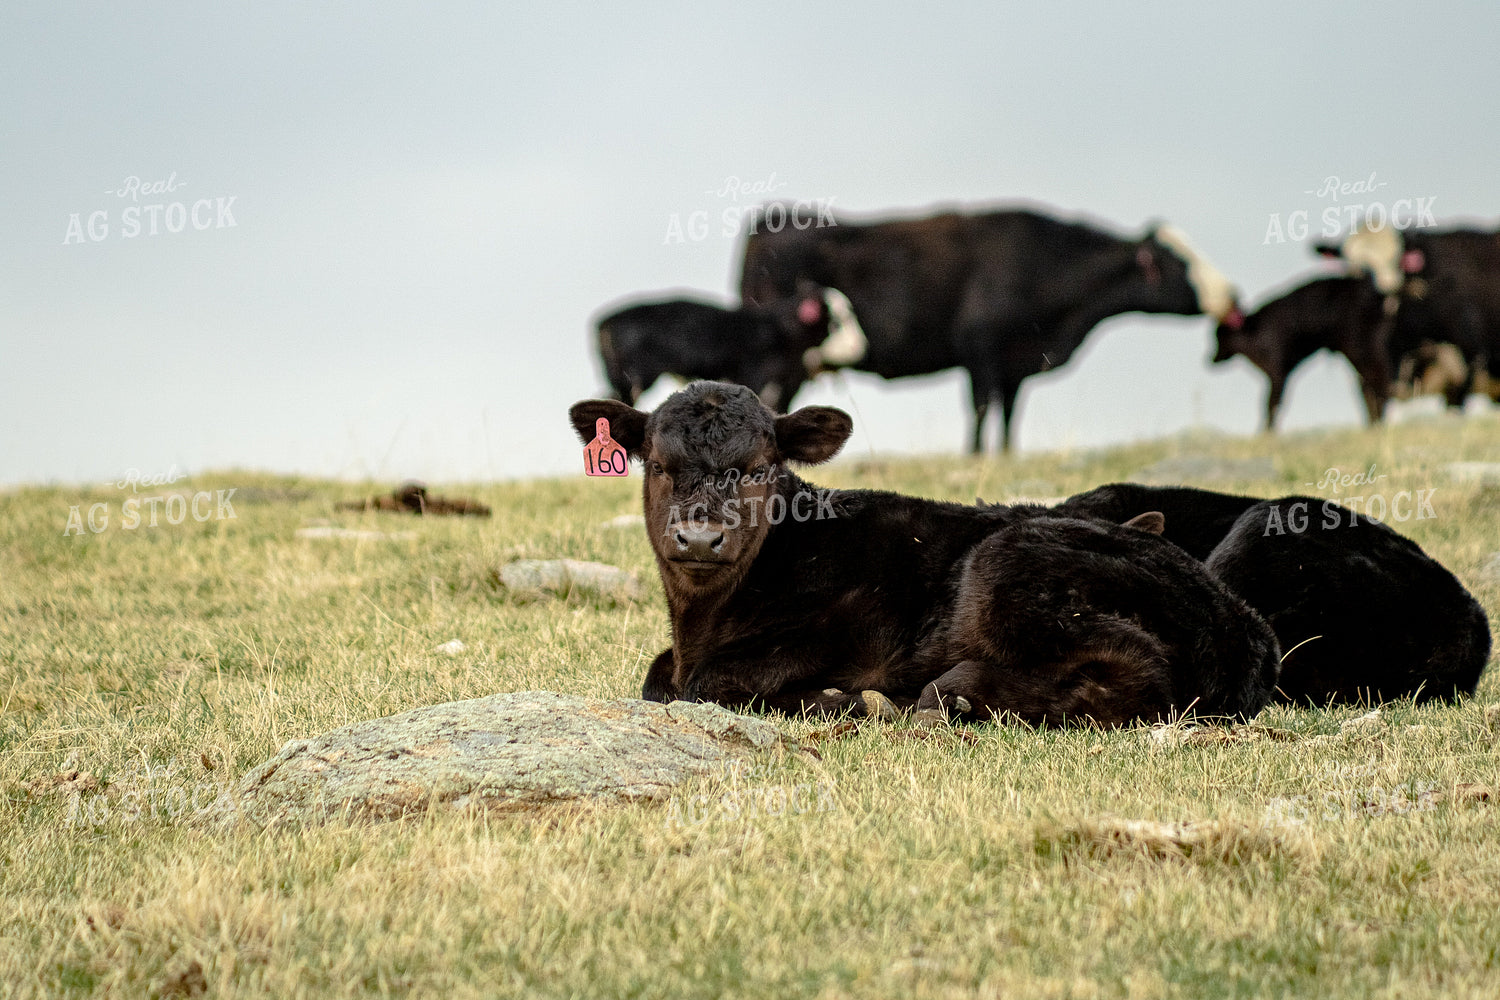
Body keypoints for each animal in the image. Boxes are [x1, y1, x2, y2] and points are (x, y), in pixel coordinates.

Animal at [568, 381, 1281, 726]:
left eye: (756, 467)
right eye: (659, 465)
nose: (698, 537)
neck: (702, 623)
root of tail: (1242, 630)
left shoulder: (849, 633)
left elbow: (707, 685)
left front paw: (843, 700)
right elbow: (658, 675)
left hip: (1010, 564)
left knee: (1133, 672)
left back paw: (950, 695)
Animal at [739, 204, 1242, 452]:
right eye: (1181, 262)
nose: (1234, 294)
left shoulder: (1016, 363)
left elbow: (1008, 415)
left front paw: (1004, 455)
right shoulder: (981, 350)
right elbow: (981, 411)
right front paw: (977, 456)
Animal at [1209, 274, 1396, 430]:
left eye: (1219, 337)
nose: (1209, 360)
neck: (1254, 331)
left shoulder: (1278, 373)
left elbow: (1271, 405)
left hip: (1362, 354)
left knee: (1376, 389)